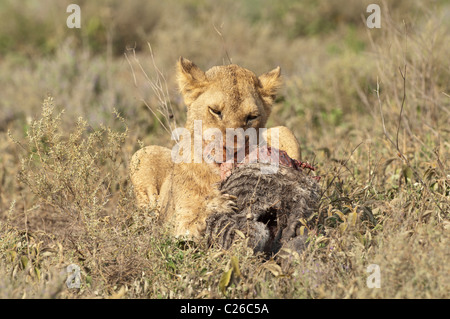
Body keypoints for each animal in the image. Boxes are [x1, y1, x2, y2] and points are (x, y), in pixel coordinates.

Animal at [130, 57, 298, 240]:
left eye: (252, 117)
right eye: (215, 111)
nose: (232, 150)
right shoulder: (179, 225)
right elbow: (194, 220)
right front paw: (220, 204)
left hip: (285, 131)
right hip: (142, 154)